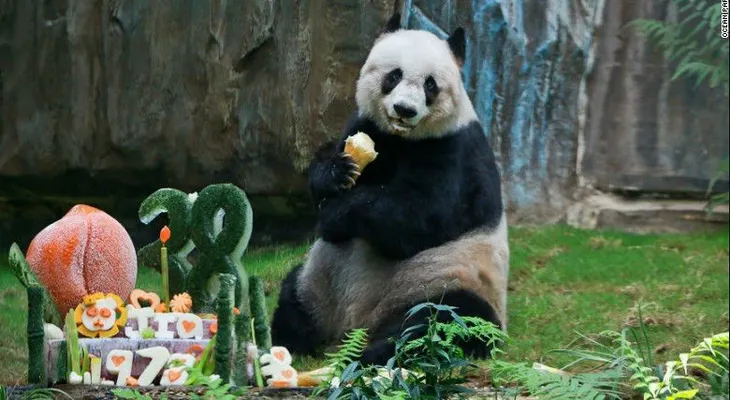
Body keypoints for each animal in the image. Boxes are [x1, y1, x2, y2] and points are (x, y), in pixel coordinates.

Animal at [270, 13, 509, 366]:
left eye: (430, 84)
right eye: (394, 75)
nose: (404, 109)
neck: (402, 138)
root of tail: (355, 324)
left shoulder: (455, 152)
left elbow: (418, 215)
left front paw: (336, 214)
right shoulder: (367, 127)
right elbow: (330, 170)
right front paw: (335, 172)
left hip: (445, 279)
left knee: (443, 321)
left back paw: (371, 355)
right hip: (317, 280)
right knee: (293, 297)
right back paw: (287, 343)